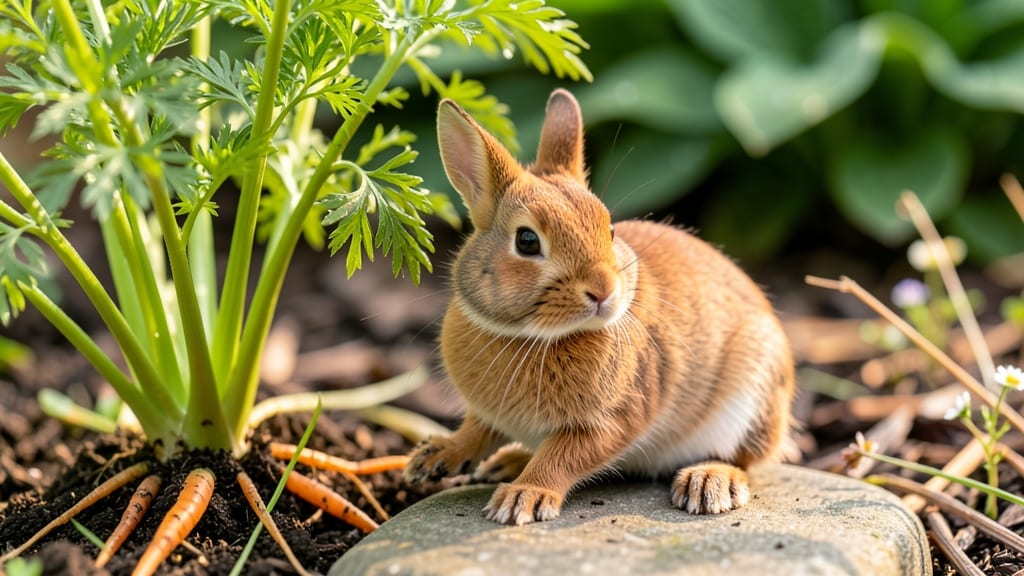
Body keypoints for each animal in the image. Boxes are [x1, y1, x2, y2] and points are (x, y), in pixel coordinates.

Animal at [404, 88, 795, 526]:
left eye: (608, 229)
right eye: (526, 241)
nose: (604, 291)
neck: (529, 335)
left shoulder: (616, 418)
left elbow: (564, 456)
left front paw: (524, 497)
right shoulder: (489, 415)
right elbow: (476, 431)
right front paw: (435, 457)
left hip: (752, 391)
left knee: (746, 459)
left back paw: (709, 481)